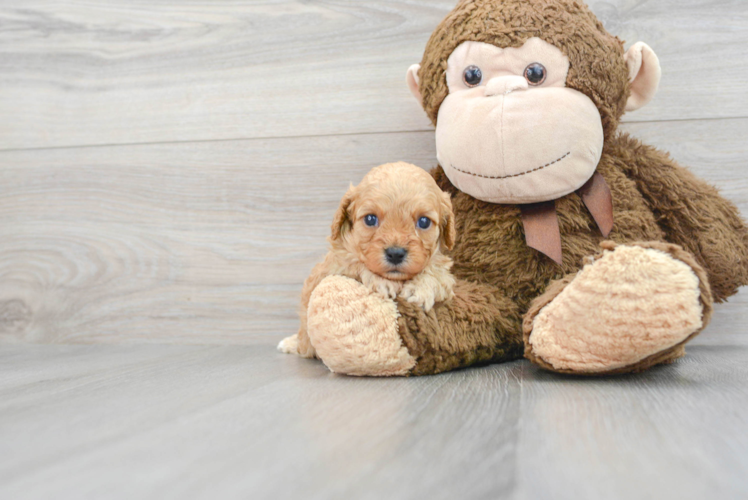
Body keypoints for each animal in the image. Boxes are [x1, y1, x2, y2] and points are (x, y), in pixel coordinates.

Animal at [278, 162, 456, 358]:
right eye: (370, 219)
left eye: (424, 222)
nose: (395, 253)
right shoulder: (334, 264)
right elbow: (355, 261)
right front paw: (381, 281)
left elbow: (437, 272)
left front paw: (421, 289)